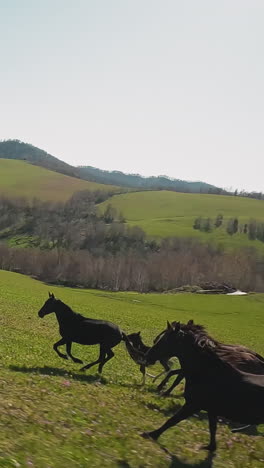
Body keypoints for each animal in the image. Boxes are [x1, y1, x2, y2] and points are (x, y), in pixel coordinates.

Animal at [142, 320, 264, 452]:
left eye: (165, 340)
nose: (147, 356)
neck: (209, 371)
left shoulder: (193, 405)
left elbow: (172, 419)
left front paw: (151, 433)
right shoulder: (211, 409)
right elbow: (212, 428)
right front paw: (210, 447)